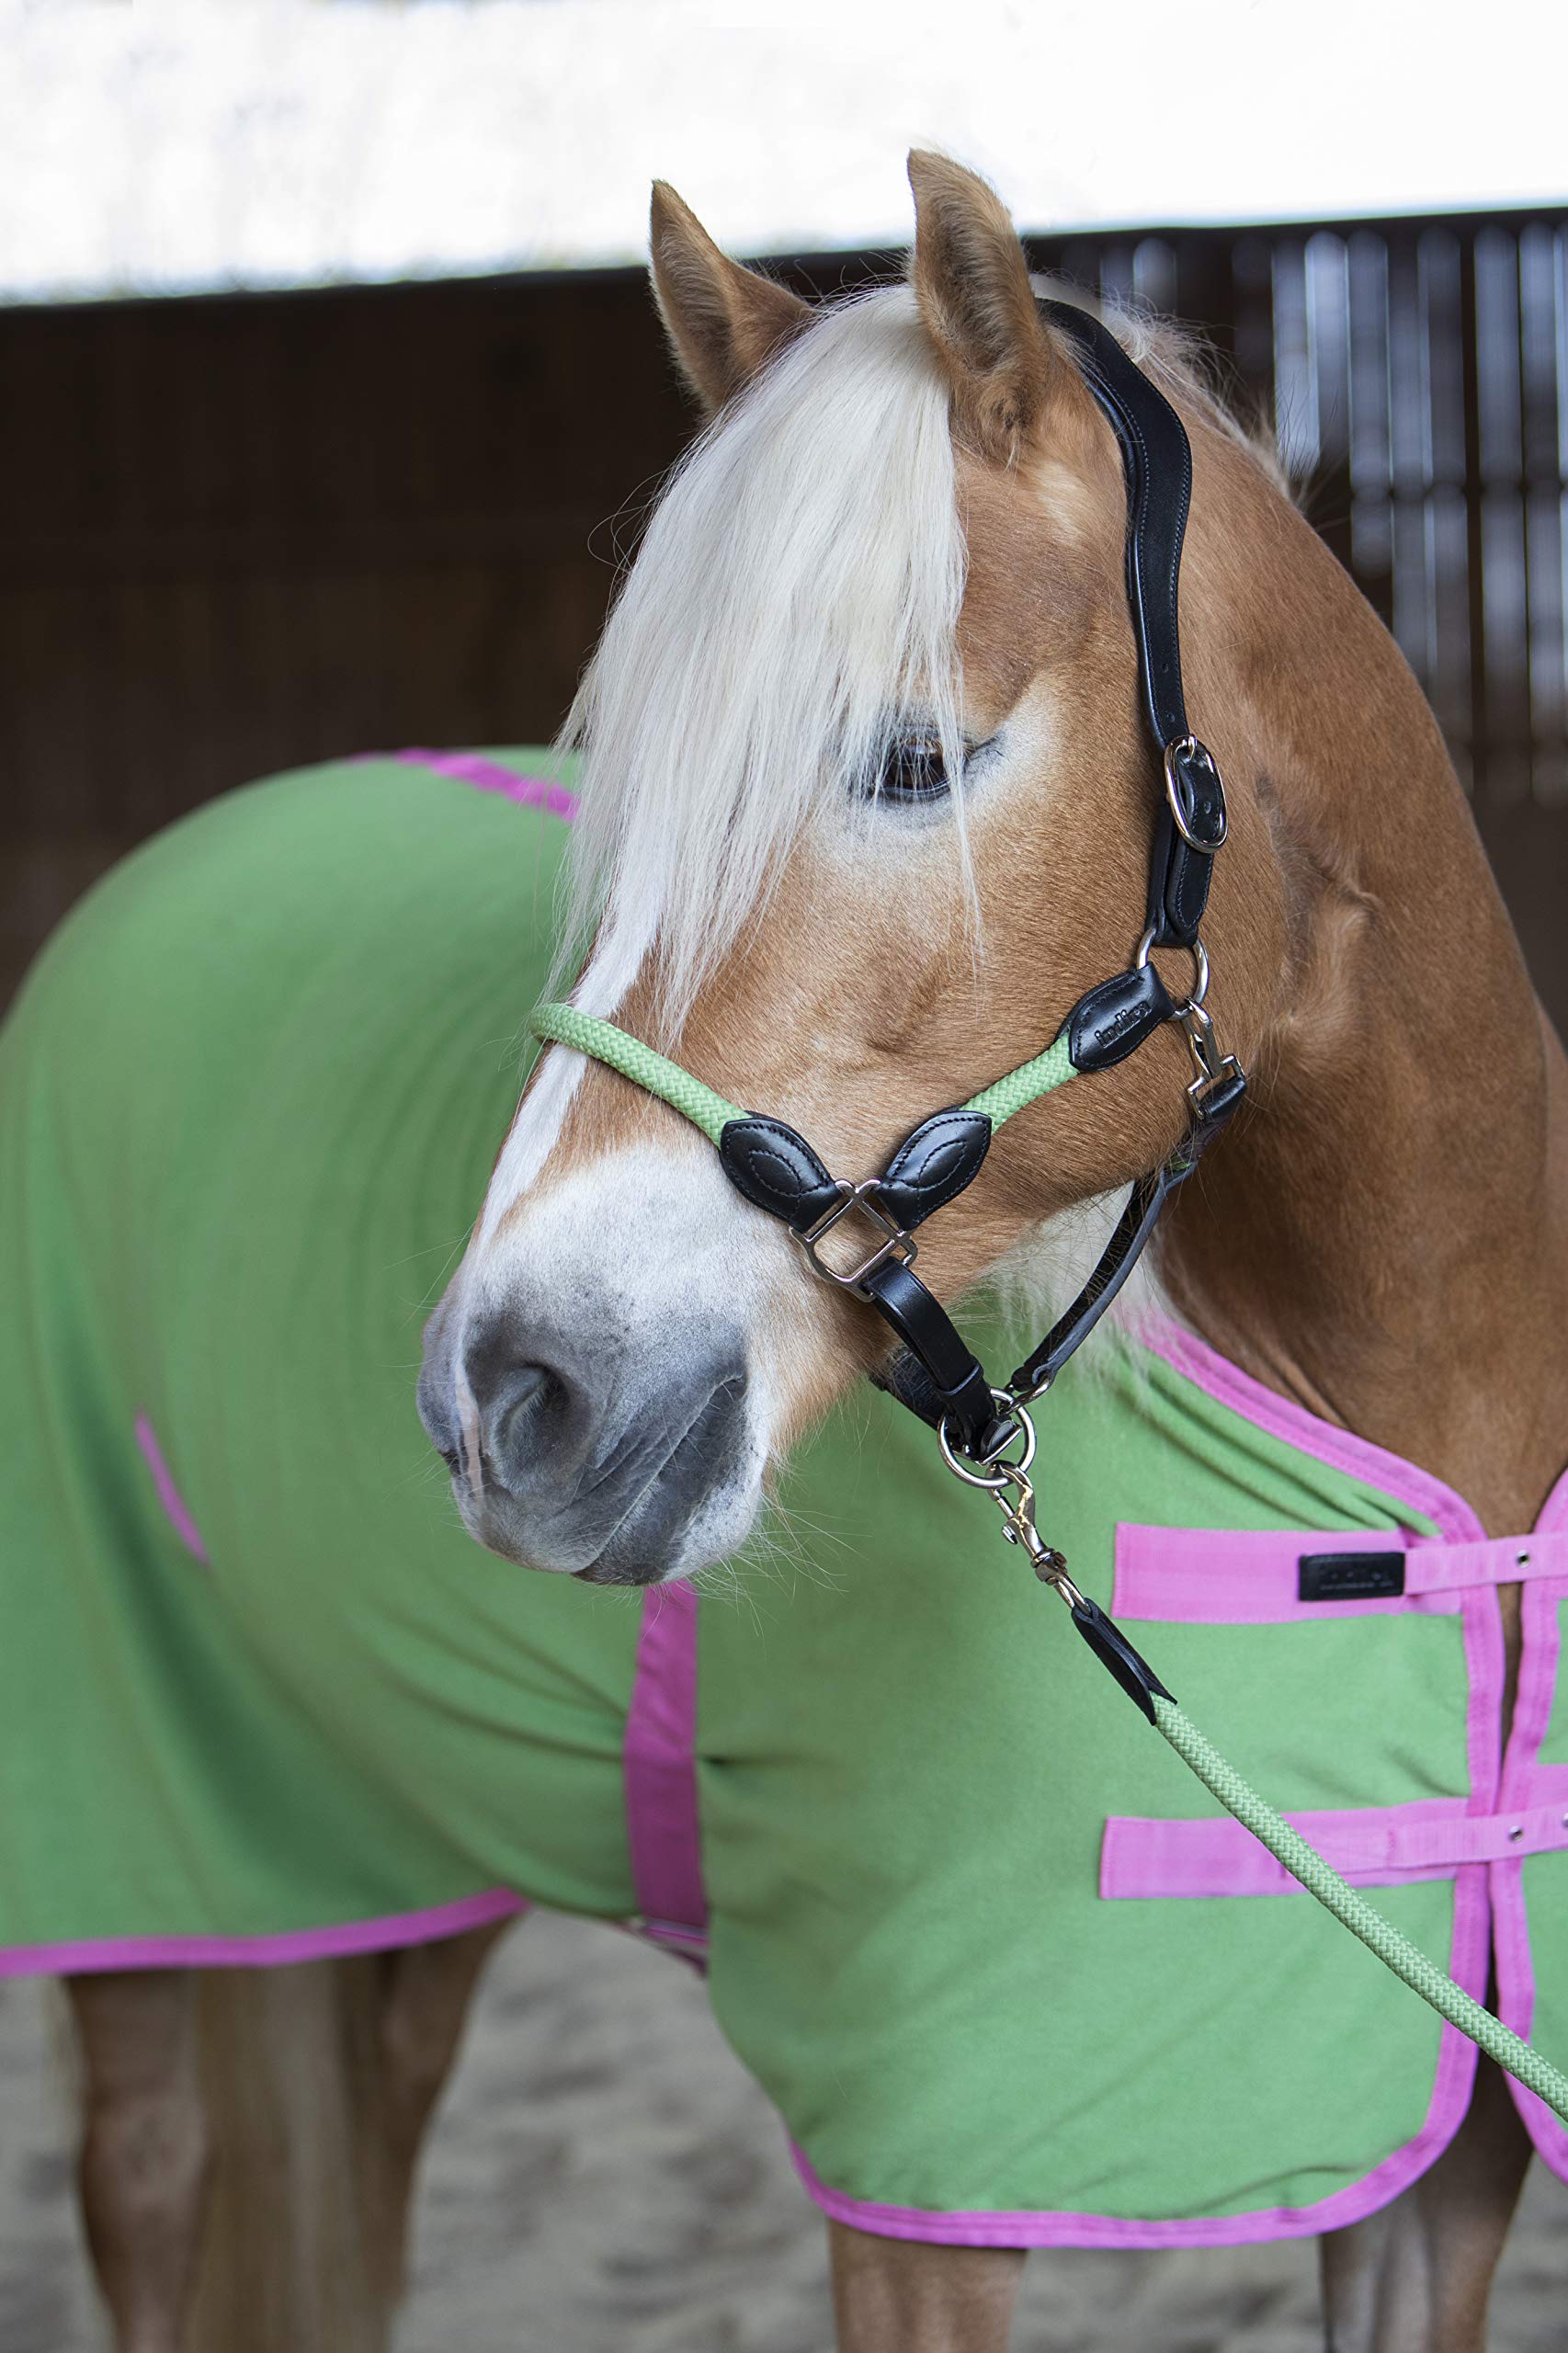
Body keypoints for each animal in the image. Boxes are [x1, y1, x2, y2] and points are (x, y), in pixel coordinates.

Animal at [3, 150, 1565, 2352]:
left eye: (913, 759)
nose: (512, 1394)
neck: (1439, 1447)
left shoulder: (1445, 2168)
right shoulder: (921, 2173)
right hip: (145, 1841)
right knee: (151, 2181)